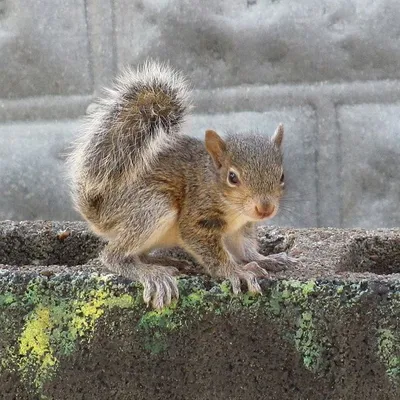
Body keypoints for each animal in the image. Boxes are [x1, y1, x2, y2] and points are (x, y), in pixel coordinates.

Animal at [67, 60, 296, 310]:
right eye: (232, 177)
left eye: (282, 176)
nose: (265, 209)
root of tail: (99, 213)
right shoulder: (197, 217)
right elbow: (210, 250)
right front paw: (236, 271)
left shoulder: (241, 228)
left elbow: (244, 249)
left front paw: (266, 259)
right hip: (153, 206)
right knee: (113, 255)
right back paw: (151, 274)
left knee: (138, 253)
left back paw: (164, 261)